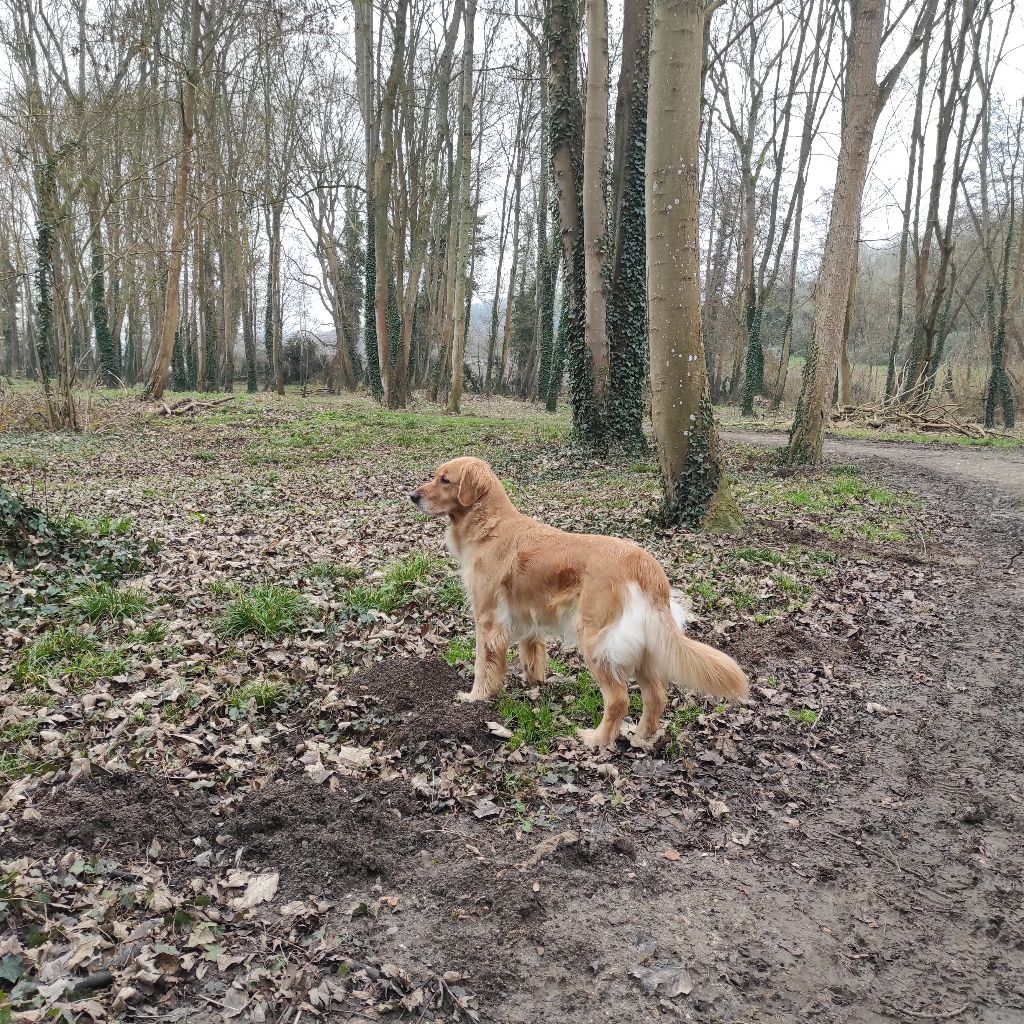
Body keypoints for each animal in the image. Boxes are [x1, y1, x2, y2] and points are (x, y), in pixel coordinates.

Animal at [409, 460, 753, 749]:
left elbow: (483, 664)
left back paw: (597, 739)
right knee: (656, 695)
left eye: (444, 479)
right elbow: (532, 654)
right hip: (639, 643)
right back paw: (640, 736)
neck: (490, 525)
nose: (412, 496)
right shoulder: (528, 618)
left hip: (595, 639)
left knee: (619, 699)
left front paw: (475, 697)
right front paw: (534, 685)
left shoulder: (487, 618)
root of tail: (644, 563)